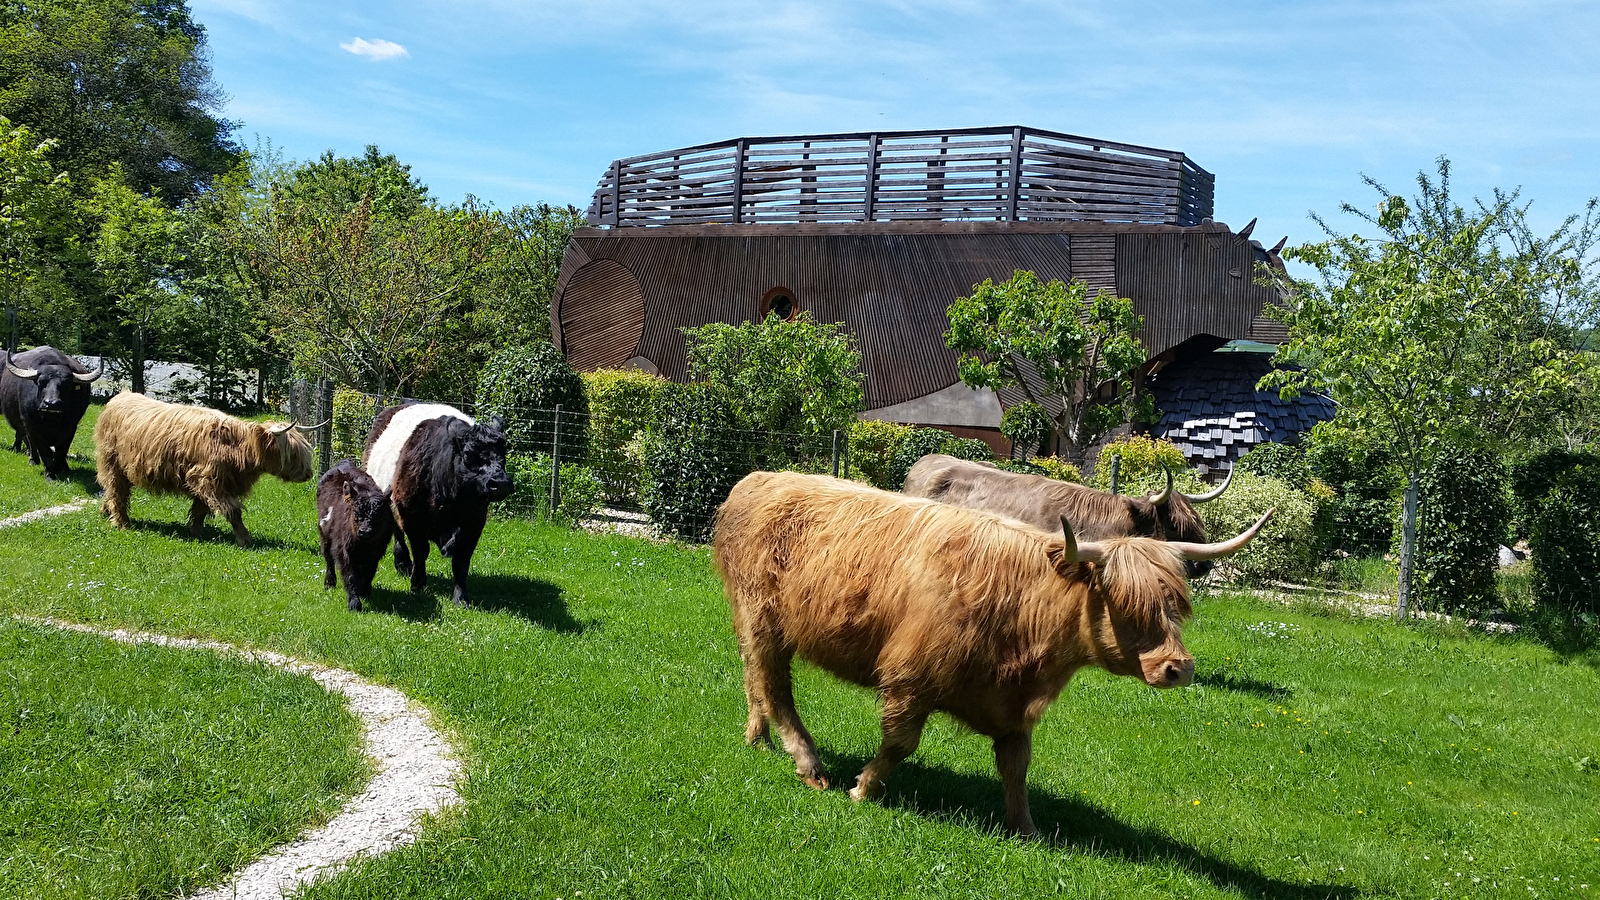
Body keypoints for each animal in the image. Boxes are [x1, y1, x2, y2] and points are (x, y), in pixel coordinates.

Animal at [1, 347, 103, 480]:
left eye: (66, 384)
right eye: (41, 382)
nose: (51, 403)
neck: (51, 420)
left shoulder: (70, 428)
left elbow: (62, 449)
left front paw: (59, 468)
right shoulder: (33, 427)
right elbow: (45, 451)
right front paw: (50, 474)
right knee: (27, 439)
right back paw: (33, 460)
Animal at [97, 389, 318, 544]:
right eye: (293, 453)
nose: (308, 474)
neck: (237, 448)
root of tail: (120, 396)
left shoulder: (211, 482)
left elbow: (200, 509)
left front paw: (196, 532)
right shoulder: (209, 480)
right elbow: (232, 511)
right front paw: (245, 539)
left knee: (113, 491)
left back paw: (105, 512)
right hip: (112, 462)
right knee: (117, 491)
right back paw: (122, 523)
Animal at [720, 474, 1267, 832]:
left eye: (1176, 605)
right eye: (1126, 603)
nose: (1179, 668)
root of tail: (757, 479)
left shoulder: (1013, 710)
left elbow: (1017, 767)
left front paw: (1026, 828)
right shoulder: (909, 680)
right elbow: (898, 744)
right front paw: (863, 789)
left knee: (754, 677)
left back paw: (757, 737)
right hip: (762, 618)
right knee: (774, 686)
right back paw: (809, 764)